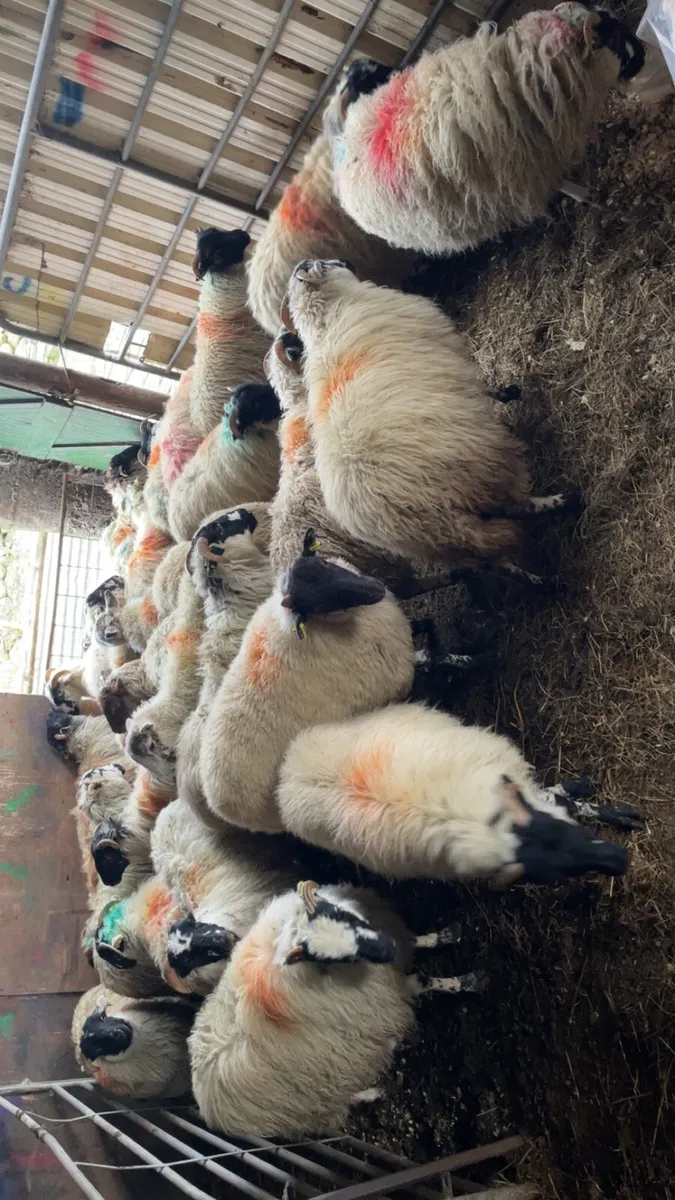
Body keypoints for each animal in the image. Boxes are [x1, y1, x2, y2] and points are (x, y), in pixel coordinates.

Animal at [189, 881, 482, 1136]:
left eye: (343, 915)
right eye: (340, 958)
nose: (387, 949)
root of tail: (205, 1106)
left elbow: (415, 940)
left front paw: (448, 934)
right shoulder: (389, 994)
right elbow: (424, 980)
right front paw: (470, 981)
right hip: (312, 1096)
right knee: (348, 1095)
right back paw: (379, 1086)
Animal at [277, 703, 644, 887]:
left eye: (567, 833)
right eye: (553, 877)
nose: (619, 860)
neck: (484, 823)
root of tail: (286, 773)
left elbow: (562, 799)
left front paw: (613, 811)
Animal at [283, 261, 580, 579]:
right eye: (327, 264)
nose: (347, 262)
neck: (327, 320)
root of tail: (384, 516)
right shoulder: (447, 352)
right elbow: (481, 386)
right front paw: (507, 392)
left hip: (444, 539)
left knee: (494, 552)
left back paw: (533, 577)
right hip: (478, 469)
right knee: (517, 504)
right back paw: (562, 501)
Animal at [326, 7, 645, 257]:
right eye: (615, 37)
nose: (643, 53)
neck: (517, 77)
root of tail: (343, 136)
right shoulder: (520, 167)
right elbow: (558, 184)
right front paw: (587, 196)